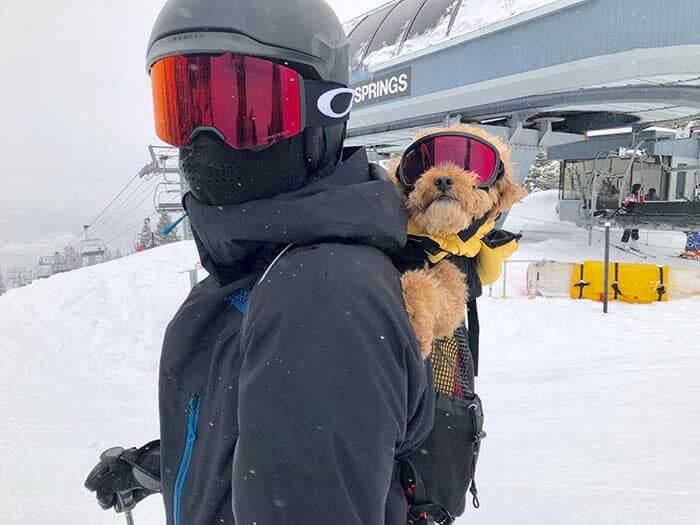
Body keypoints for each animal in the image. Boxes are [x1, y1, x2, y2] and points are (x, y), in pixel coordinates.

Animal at [388, 123, 524, 356]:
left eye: (471, 166)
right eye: (424, 164)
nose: (442, 179)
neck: (432, 240)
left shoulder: (456, 279)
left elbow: (437, 292)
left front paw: (418, 318)